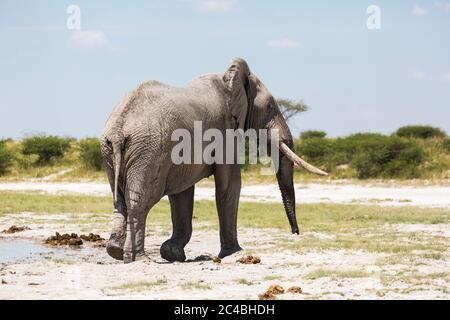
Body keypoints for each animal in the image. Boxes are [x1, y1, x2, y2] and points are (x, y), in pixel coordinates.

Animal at [100, 57, 326, 262]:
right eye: (270, 106)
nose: (296, 233)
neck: (228, 80)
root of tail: (119, 128)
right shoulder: (223, 131)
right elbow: (230, 184)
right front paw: (235, 254)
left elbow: (182, 193)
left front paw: (172, 253)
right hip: (148, 151)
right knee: (140, 200)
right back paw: (138, 258)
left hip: (113, 151)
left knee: (120, 199)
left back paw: (115, 252)